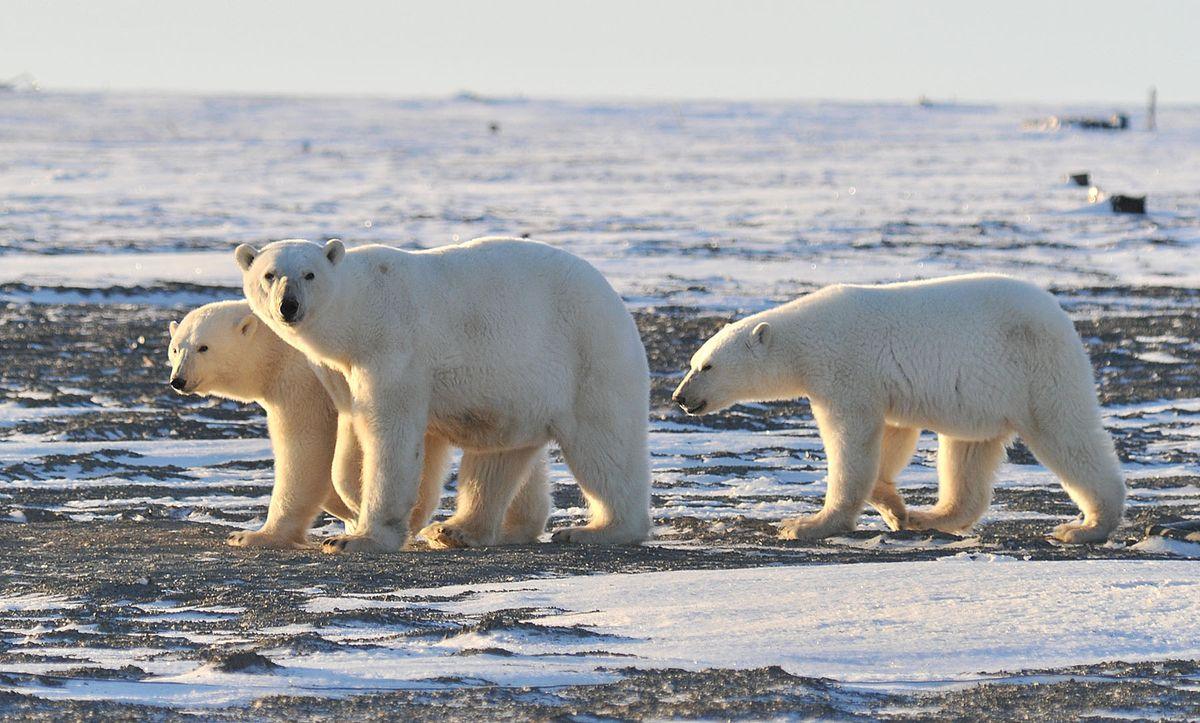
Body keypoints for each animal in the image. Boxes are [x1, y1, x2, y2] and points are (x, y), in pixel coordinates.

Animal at [167, 300, 490, 548]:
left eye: (204, 347)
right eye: (175, 348)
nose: (178, 380)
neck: (279, 347)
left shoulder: (302, 382)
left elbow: (305, 449)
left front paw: (251, 536)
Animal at [233, 236, 651, 554]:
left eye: (309, 274)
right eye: (269, 274)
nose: (289, 306)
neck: (360, 314)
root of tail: (615, 302)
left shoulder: (393, 352)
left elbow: (390, 434)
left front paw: (358, 538)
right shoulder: (339, 372)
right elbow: (351, 433)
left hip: (589, 358)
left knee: (604, 447)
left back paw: (596, 529)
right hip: (519, 393)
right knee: (499, 458)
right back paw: (455, 529)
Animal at [671, 273, 1125, 544]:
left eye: (706, 366)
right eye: (693, 362)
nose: (679, 397)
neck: (807, 339)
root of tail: (1061, 317)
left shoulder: (846, 369)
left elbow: (851, 441)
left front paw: (804, 525)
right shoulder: (879, 384)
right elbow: (892, 435)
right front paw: (897, 509)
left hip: (1036, 372)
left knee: (1067, 435)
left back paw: (1085, 526)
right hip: (982, 398)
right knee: (966, 454)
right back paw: (930, 516)